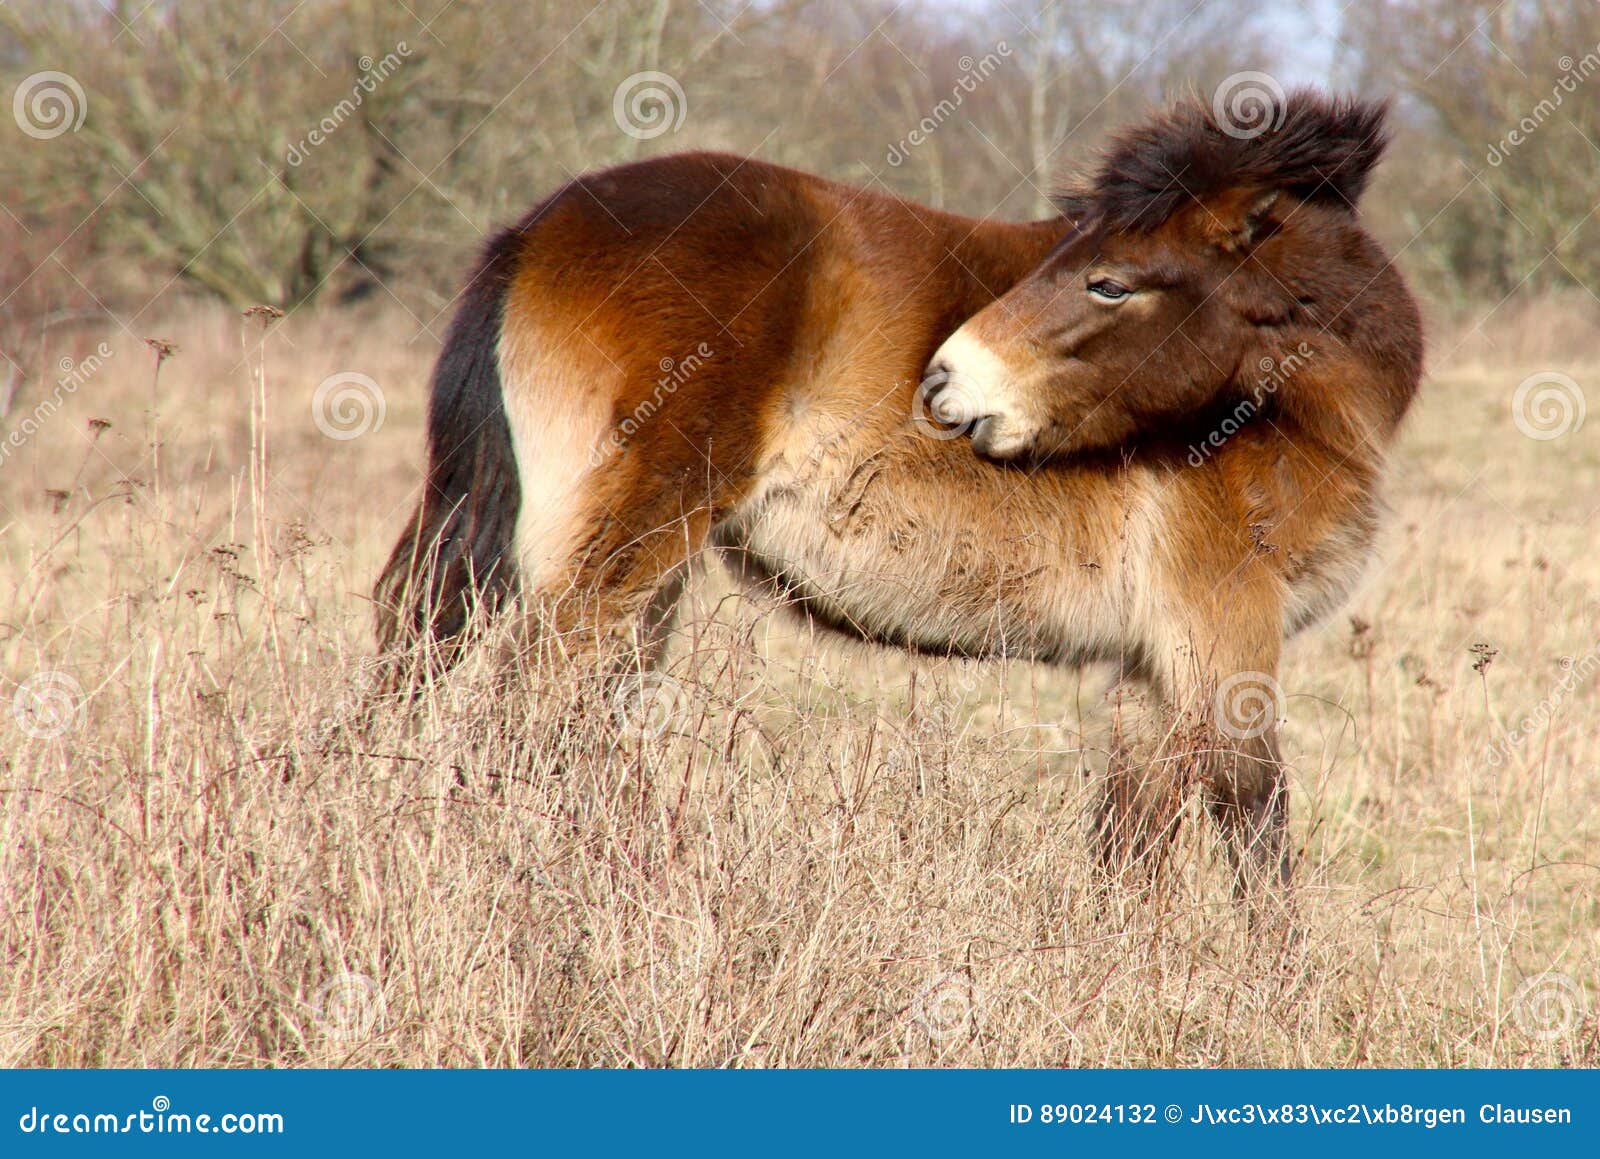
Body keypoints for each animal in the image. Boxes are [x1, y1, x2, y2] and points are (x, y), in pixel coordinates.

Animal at [374, 90, 1423, 903]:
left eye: (1109, 282)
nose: (947, 383)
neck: (1282, 410)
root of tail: (538, 229)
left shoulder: (1154, 664)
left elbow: (1133, 846)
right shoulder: (1223, 631)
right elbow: (1256, 827)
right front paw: (1274, 1004)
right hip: (614, 556)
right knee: (522, 710)